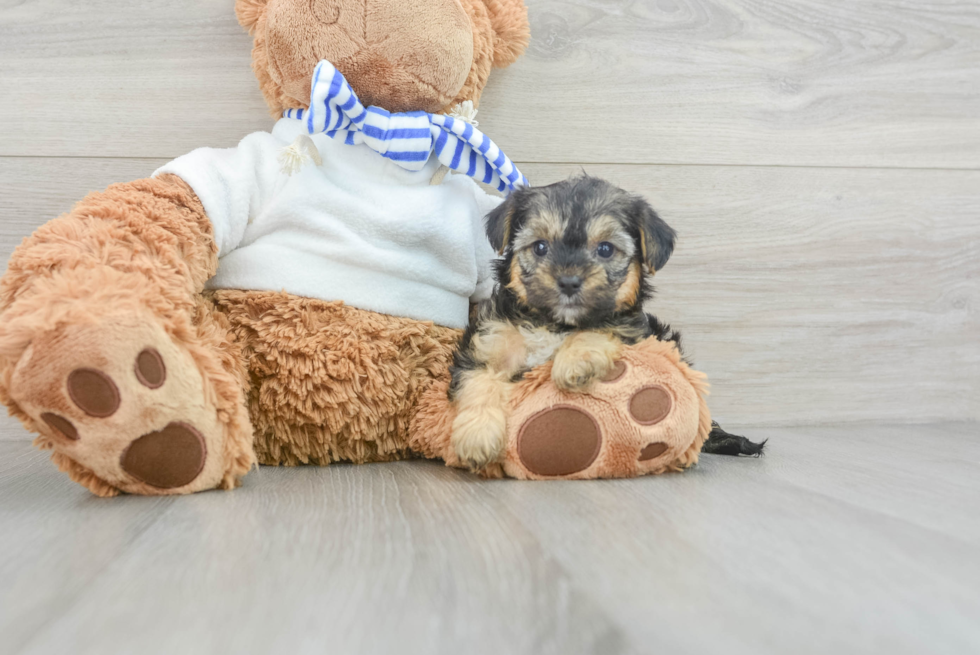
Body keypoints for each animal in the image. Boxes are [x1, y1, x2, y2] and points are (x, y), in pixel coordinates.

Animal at [446, 176, 680, 472]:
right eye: (540, 247)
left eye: (605, 249)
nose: (569, 281)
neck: (552, 323)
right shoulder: (488, 342)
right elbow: (480, 381)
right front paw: (477, 437)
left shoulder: (632, 329)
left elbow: (599, 327)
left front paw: (575, 360)